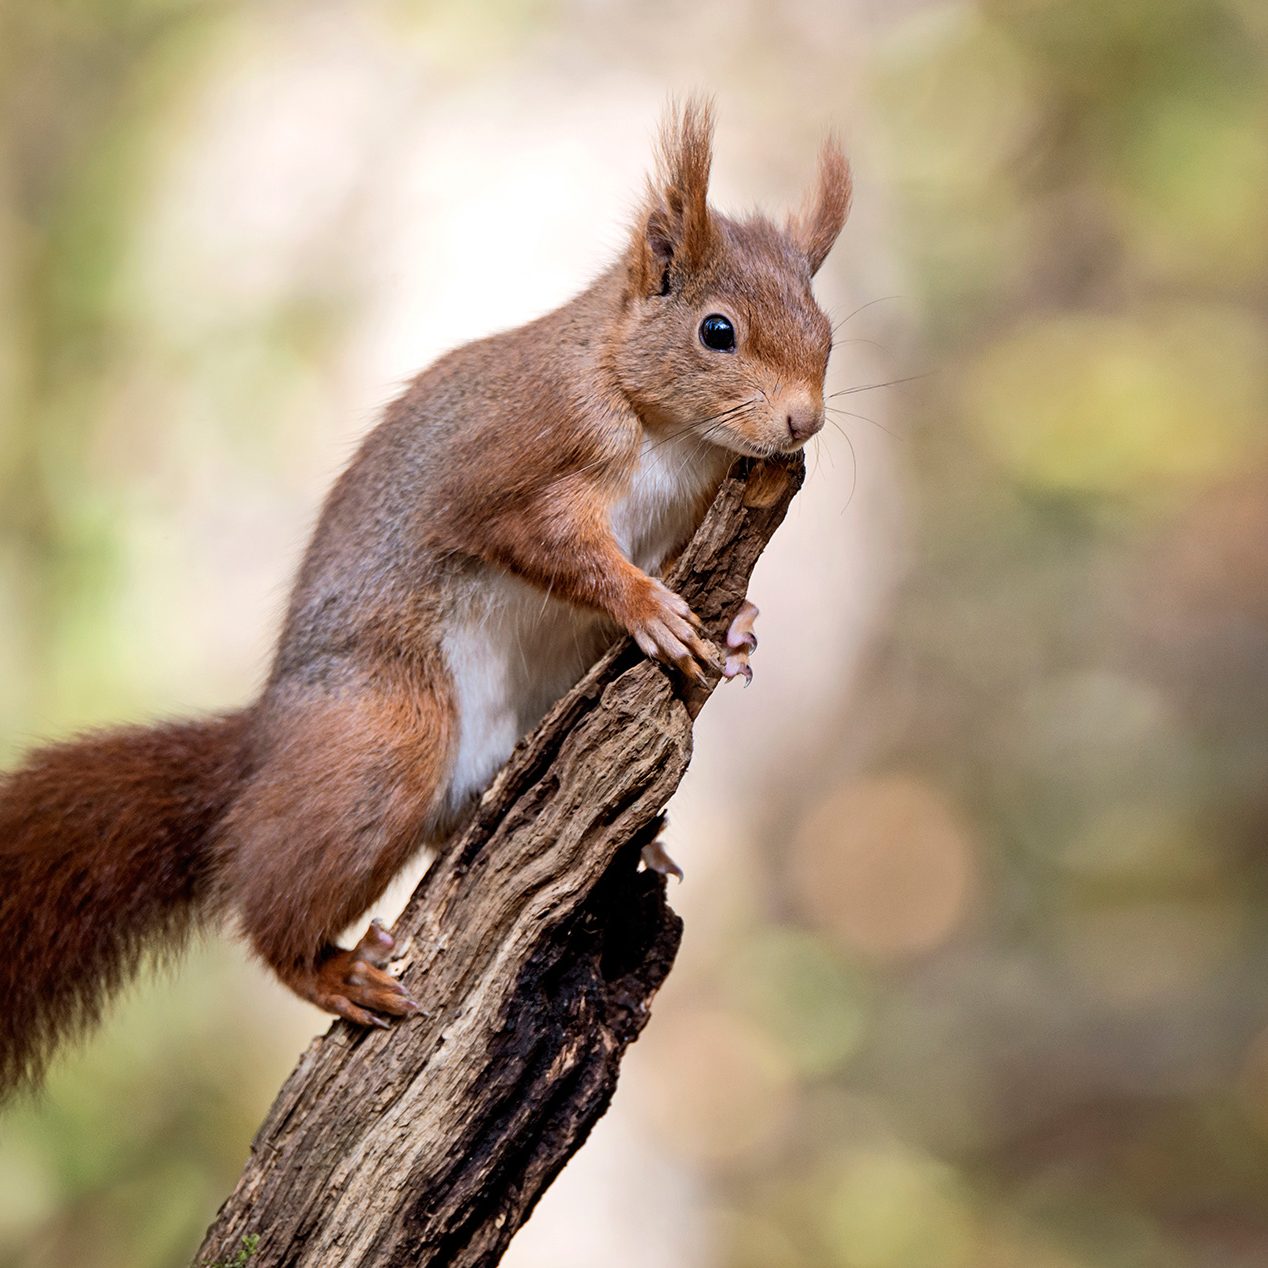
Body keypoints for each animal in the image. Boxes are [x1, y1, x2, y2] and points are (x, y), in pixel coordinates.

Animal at [2, 101, 852, 1090]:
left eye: (828, 331)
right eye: (717, 332)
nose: (803, 421)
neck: (667, 429)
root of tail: (261, 749)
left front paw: (741, 624)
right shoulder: (522, 468)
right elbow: (558, 548)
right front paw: (648, 608)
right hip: (385, 741)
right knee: (270, 907)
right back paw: (330, 973)